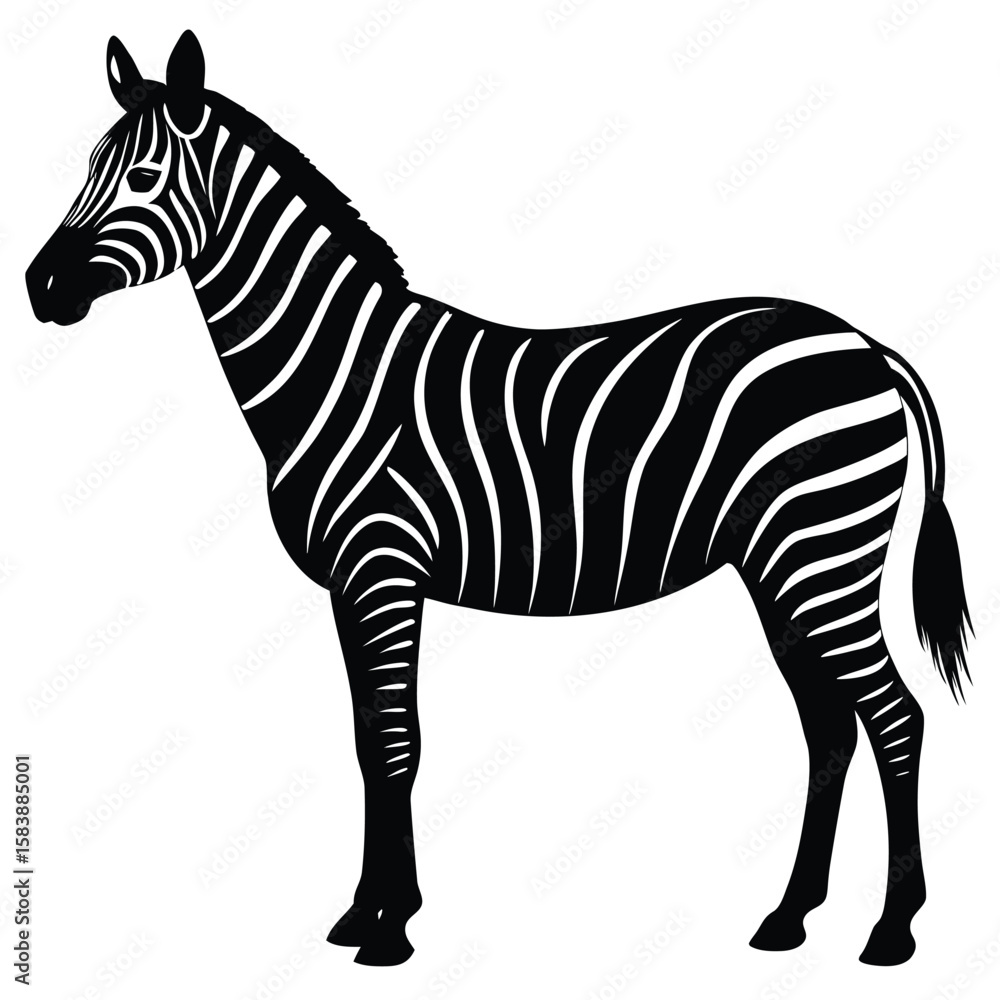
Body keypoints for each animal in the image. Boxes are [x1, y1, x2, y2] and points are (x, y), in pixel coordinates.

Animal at [26, 31, 973, 968]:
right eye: (87, 167)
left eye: (144, 178)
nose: (40, 289)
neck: (335, 370)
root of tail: (869, 345)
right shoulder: (352, 585)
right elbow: (368, 742)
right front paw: (363, 912)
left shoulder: (382, 566)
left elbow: (395, 744)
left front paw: (391, 929)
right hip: (782, 567)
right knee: (831, 727)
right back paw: (789, 917)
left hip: (824, 555)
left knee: (897, 718)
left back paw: (892, 930)